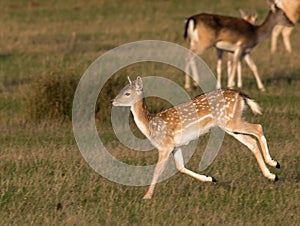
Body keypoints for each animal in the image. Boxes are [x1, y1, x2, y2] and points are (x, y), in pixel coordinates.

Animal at [112, 77, 278, 199]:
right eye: (122, 90)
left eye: (127, 93)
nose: (112, 101)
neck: (150, 127)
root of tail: (240, 94)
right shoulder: (176, 146)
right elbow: (180, 167)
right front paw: (211, 178)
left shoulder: (165, 146)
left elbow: (157, 170)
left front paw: (147, 196)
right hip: (229, 125)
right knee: (251, 142)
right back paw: (271, 174)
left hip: (231, 122)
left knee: (258, 128)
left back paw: (274, 163)